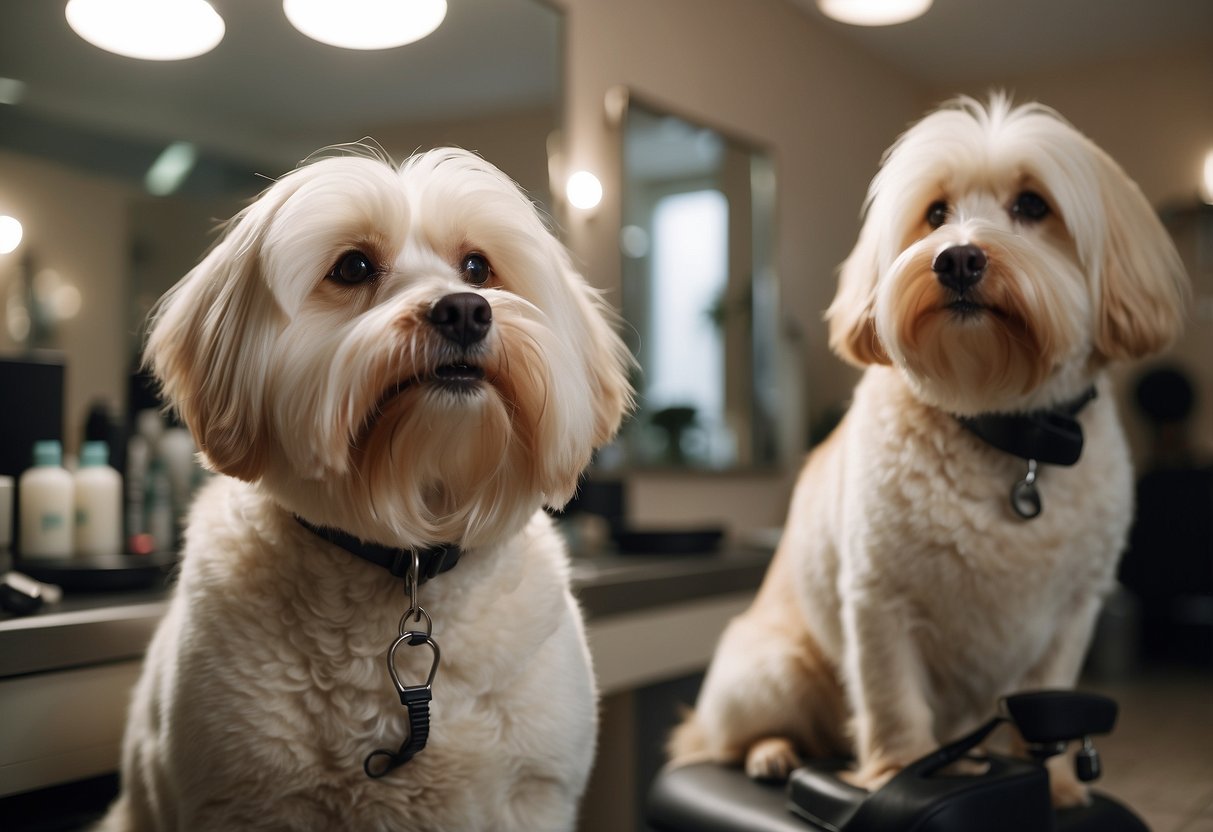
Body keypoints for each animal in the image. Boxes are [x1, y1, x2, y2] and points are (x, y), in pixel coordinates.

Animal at [669, 96, 1188, 810]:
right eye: (936, 213)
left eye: (1033, 205)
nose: (957, 259)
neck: (1000, 428)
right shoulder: (879, 603)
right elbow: (892, 702)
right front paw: (898, 773)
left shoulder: (1072, 615)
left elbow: (1048, 706)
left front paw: (1056, 785)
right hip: (775, 671)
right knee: (719, 740)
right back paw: (772, 753)